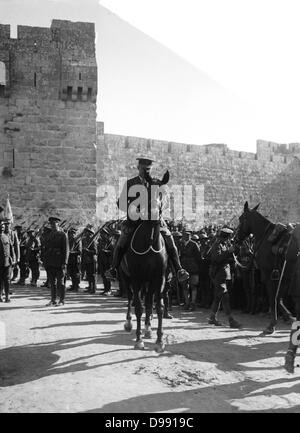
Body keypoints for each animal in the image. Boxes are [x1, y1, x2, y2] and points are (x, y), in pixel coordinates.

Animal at [120, 169, 170, 352]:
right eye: (147, 192)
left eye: (162, 192)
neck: (149, 242)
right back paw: (129, 323)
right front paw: (138, 339)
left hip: (149, 282)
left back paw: (148, 328)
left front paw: (159, 340)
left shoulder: (159, 278)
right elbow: (139, 306)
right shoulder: (136, 278)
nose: (155, 213)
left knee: (148, 301)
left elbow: (158, 306)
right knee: (130, 299)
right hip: (125, 277)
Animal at [238, 201, 294, 332]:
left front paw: (272, 324)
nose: (235, 237)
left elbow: (273, 297)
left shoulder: (268, 275)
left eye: (240, 218)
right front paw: (288, 316)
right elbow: (278, 298)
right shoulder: (283, 275)